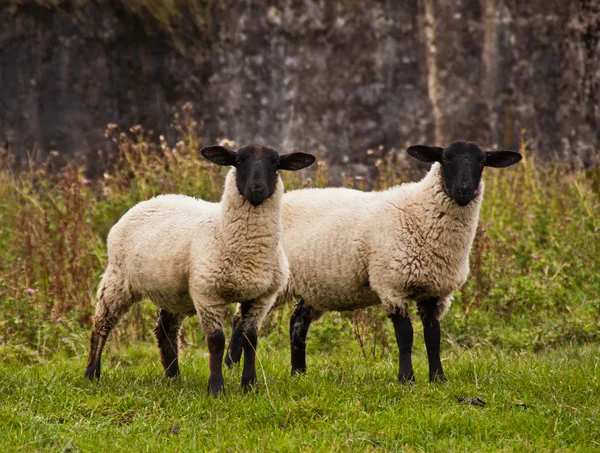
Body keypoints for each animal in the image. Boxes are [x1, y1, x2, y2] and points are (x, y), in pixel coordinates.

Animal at [86, 143, 316, 394]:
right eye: (238, 162)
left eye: (275, 164)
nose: (257, 190)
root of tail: (152, 199)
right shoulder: (207, 294)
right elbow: (216, 341)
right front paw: (216, 389)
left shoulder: (261, 297)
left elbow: (250, 339)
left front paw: (249, 385)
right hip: (118, 278)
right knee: (102, 324)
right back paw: (92, 374)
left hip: (175, 292)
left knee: (166, 328)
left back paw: (174, 377)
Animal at [226, 140, 520, 382]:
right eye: (445, 159)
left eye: (482, 162)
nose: (464, 190)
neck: (420, 213)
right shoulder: (392, 285)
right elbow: (406, 336)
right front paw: (407, 379)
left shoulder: (434, 291)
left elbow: (433, 336)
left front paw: (438, 378)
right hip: (268, 280)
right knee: (241, 319)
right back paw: (231, 365)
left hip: (314, 286)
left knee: (297, 323)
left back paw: (299, 373)